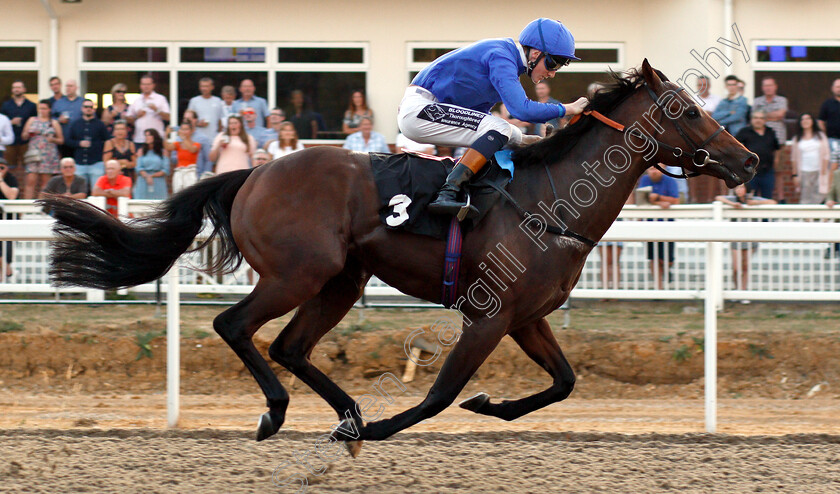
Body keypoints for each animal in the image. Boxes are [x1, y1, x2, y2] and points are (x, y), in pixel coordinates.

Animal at [44, 59, 756, 454]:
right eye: (686, 109)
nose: (748, 159)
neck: (549, 198)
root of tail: (253, 171)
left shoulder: (527, 316)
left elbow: (564, 382)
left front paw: (489, 407)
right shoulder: (489, 315)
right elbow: (440, 394)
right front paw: (394, 427)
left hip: (342, 279)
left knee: (290, 346)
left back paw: (347, 416)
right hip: (298, 272)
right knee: (236, 326)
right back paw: (283, 413)